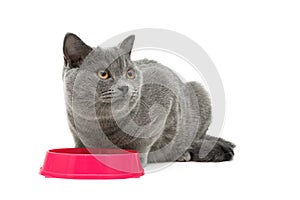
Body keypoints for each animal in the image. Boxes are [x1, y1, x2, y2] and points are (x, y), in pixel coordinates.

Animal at [62, 32, 236, 166]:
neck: (102, 122)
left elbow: (144, 141)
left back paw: (183, 153)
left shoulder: (166, 96)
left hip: (199, 92)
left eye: (130, 74)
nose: (125, 87)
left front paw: (135, 161)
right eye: (103, 74)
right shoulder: (75, 130)